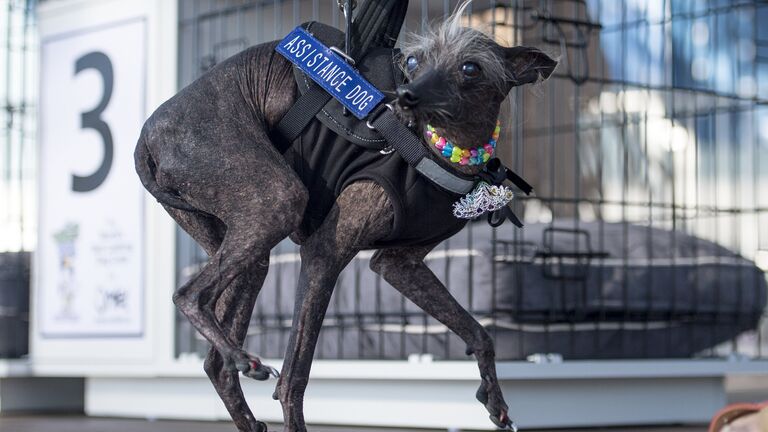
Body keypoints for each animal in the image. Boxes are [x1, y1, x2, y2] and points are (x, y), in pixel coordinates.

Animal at [132, 4, 552, 432]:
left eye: (470, 68)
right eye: (413, 62)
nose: (405, 97)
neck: (439, 149)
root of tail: (145, 138)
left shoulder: (398, 265)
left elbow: (480, 332)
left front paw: (495, 398)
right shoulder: (323, 254)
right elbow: (293, 377)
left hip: (250, 245)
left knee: (215, 361)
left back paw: (240, 385)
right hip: (277, 201)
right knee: (189, 295)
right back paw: (239, 356)